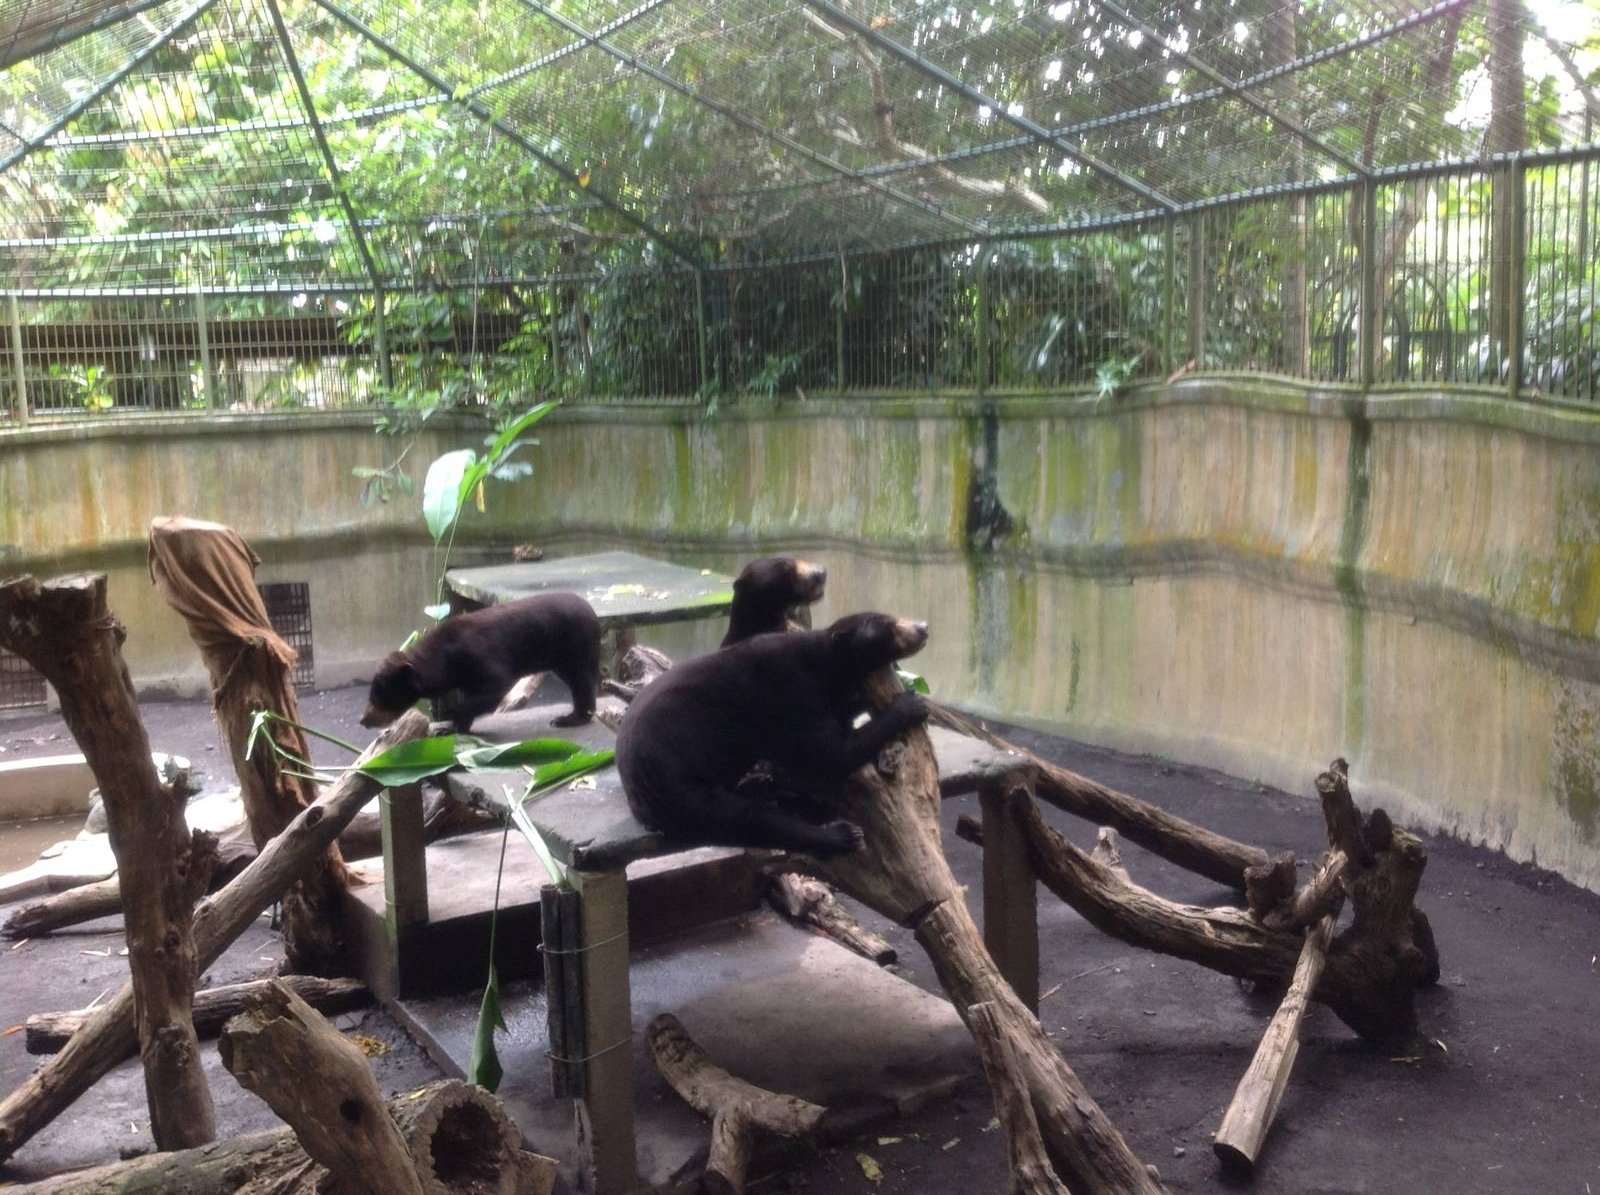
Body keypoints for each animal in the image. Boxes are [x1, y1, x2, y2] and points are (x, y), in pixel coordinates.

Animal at [361, 592, 601, 733]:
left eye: (378, 696)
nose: (363, 719)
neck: (445, 658)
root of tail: (592, 611)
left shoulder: (478, 658)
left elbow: (494, 687)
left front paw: (451, 719)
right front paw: (450, 728)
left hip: (575, 646)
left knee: (581, 680)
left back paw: (567, 719)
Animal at [615, 611, 930, 857]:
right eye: (888, 626)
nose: (923, 627)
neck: (823, 665)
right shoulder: (788, 694)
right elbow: (830, 755)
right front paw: (911, 704)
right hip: (681, 785)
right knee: (750, 818)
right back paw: (842, 835)